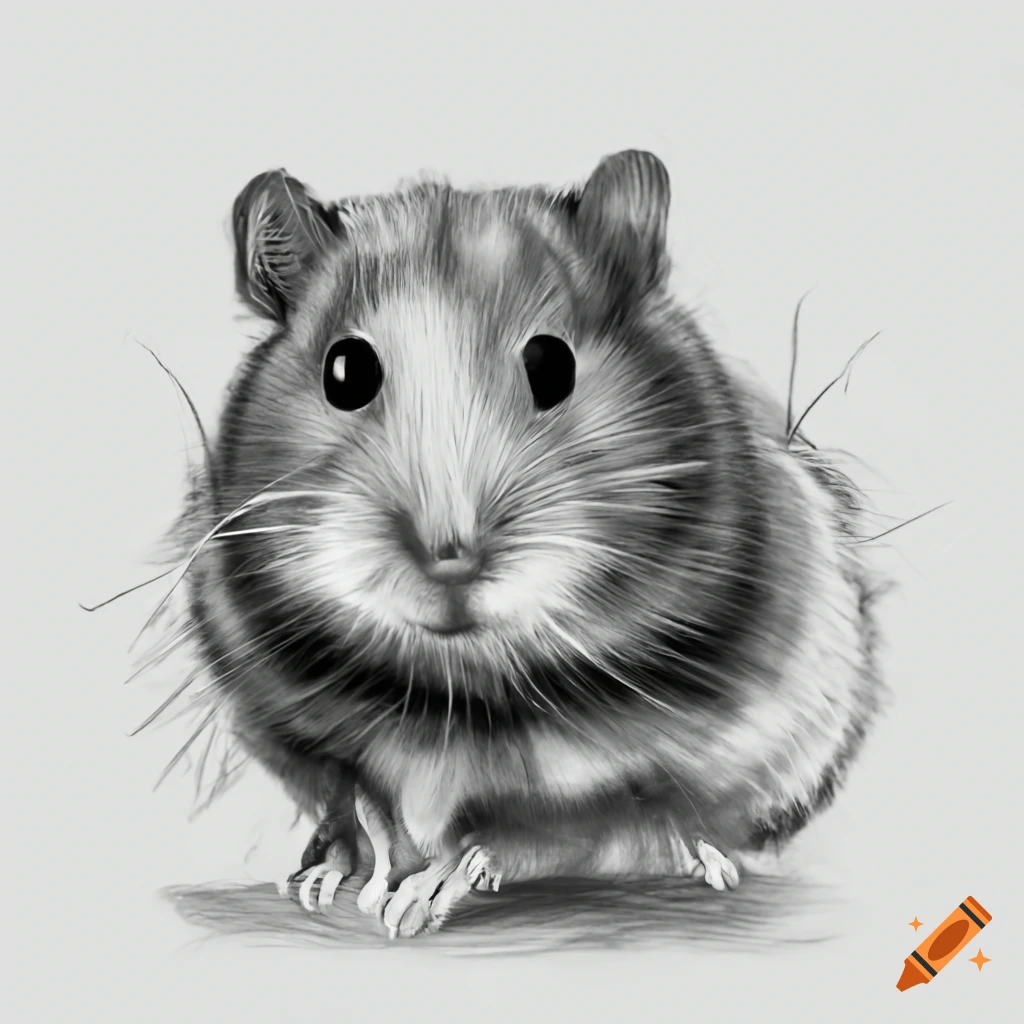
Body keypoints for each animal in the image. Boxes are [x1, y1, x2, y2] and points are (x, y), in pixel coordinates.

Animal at [166, 151, 887, 940]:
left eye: (552, 364)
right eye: (345, 370)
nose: (450, 559)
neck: (453, 691)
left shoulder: (634, 769)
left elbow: (543, 827)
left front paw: (414, 904)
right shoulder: (312, 738)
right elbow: (361, 805)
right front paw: (342, 886)